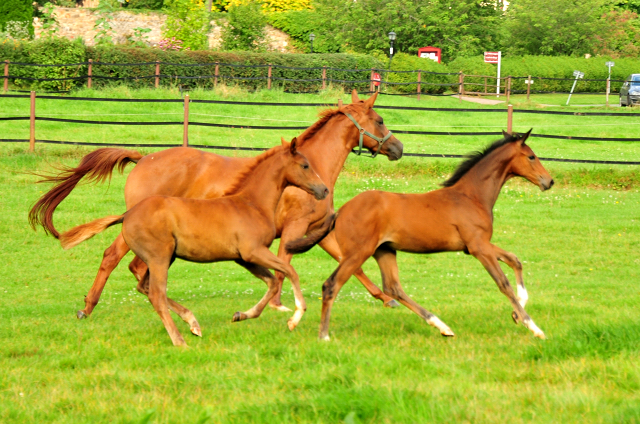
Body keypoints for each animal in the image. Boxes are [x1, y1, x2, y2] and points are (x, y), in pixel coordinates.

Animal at [30, 90, 402, 322]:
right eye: (381, 119)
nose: (397, 148)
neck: (310, 168)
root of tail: (142, 158)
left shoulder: (317, 232)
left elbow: (350, 262)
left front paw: (387, 298)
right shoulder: (293, 231)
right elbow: (284, 269)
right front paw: (279, 307)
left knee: (136, 268)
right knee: (113, 258)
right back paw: (89, 307)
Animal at [59, 139, 328, 348]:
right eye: (305, 165)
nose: (324, 189)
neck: (251, 203)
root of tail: (127, 215)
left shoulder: (243, 259)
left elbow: (272, 281)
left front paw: (241, 315)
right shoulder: (254, 252)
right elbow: (290, 271)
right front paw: (295, 318)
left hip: (167, 257)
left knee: (144, 287)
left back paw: (192, 323)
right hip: (159, 257)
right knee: (155, 293)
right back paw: (179, 339)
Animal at [290, 132, 556, 342]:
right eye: (531, 157)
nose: (549, 181)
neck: (471, 196)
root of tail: (341, 210)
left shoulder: (478, 246)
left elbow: (515, 260)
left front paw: (517, 313)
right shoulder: (478, 247)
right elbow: (503, 283)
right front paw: (534, 327)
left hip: (385, 250)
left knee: (393, 287)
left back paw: (442, 326)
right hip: (358, 253)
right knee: (331, 285)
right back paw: (323, 335)